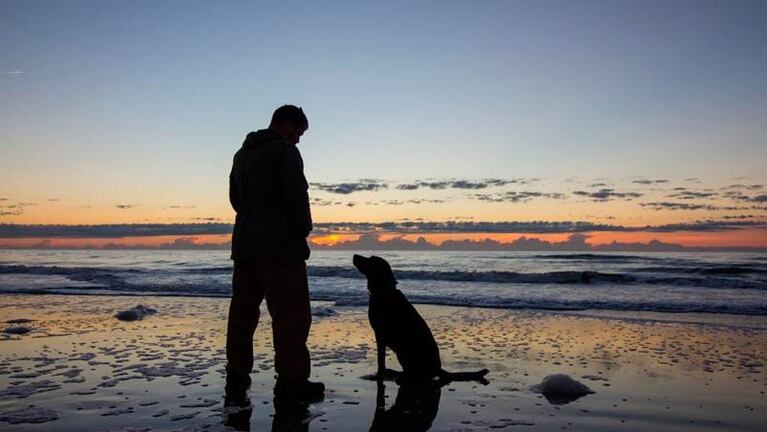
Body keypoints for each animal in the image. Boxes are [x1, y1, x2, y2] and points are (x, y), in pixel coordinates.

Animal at [352, 255, 488, 384]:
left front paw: (378, 376)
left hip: (406, 353)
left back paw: (401, 377)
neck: (384, 291)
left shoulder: (380, 335)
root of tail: (438, 368)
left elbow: (381, 361)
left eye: (370, 260)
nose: (354, 255)